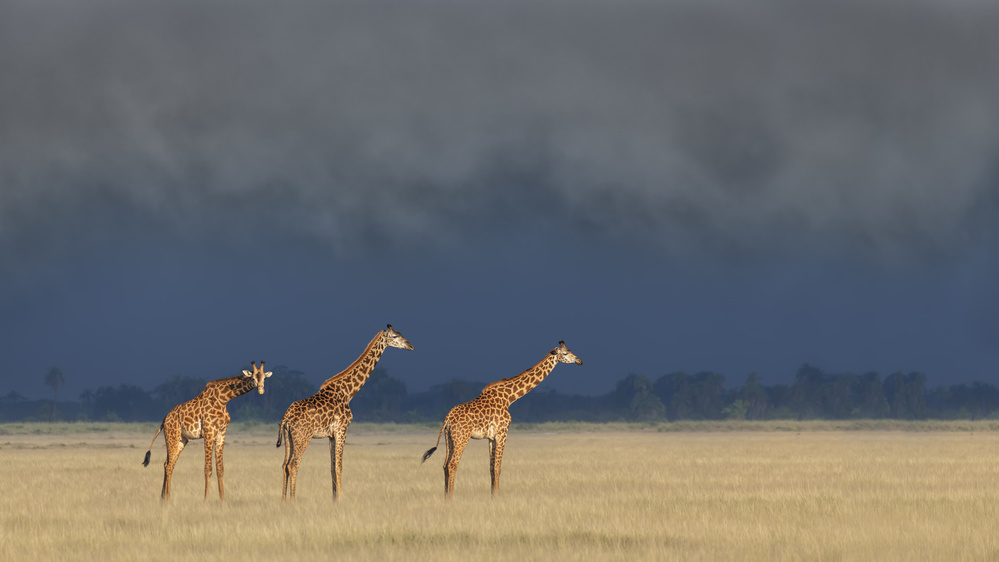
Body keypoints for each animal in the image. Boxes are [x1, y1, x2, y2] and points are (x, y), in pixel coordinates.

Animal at [143, 360, 272, 500]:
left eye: (264, 378)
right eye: (253, 378)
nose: (261, 390)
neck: (224, 399)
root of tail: (164, 420)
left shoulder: (221, 433)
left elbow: (220, 469)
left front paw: (222, 500)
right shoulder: (209, 432)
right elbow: (208, 469)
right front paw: (206, 500)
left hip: (182, 440)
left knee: (167, 464)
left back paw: (163, 499)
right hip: (172, 436)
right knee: (169, 464)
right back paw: (167, 499)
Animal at [276, 322, 412, 500]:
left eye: (401, 333)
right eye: (395, 336)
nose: (410, 346)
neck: (349, 393)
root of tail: (286, 417)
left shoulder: (331, 435)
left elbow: (332, 467)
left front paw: (334, 499)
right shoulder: (342, 429)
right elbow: (339, 467)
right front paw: (341, 499)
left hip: (289, 437)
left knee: (284, 465)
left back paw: (283, 501)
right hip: (302, 436)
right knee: (293, 464)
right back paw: (293, 501)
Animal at [424, 340, 584, 496]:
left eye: (571, 350)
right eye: (565, 353)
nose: (579, 361)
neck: (509, 398)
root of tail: (448, 418)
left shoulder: (491, 437)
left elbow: (491, 468)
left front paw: (492, 495)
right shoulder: (502, 433)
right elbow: (498, 468)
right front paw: (497, 496)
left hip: (449, 438)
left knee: (445, 465)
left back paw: (446, 497)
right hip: (461, 437)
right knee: (452, 464)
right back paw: (451, 497)